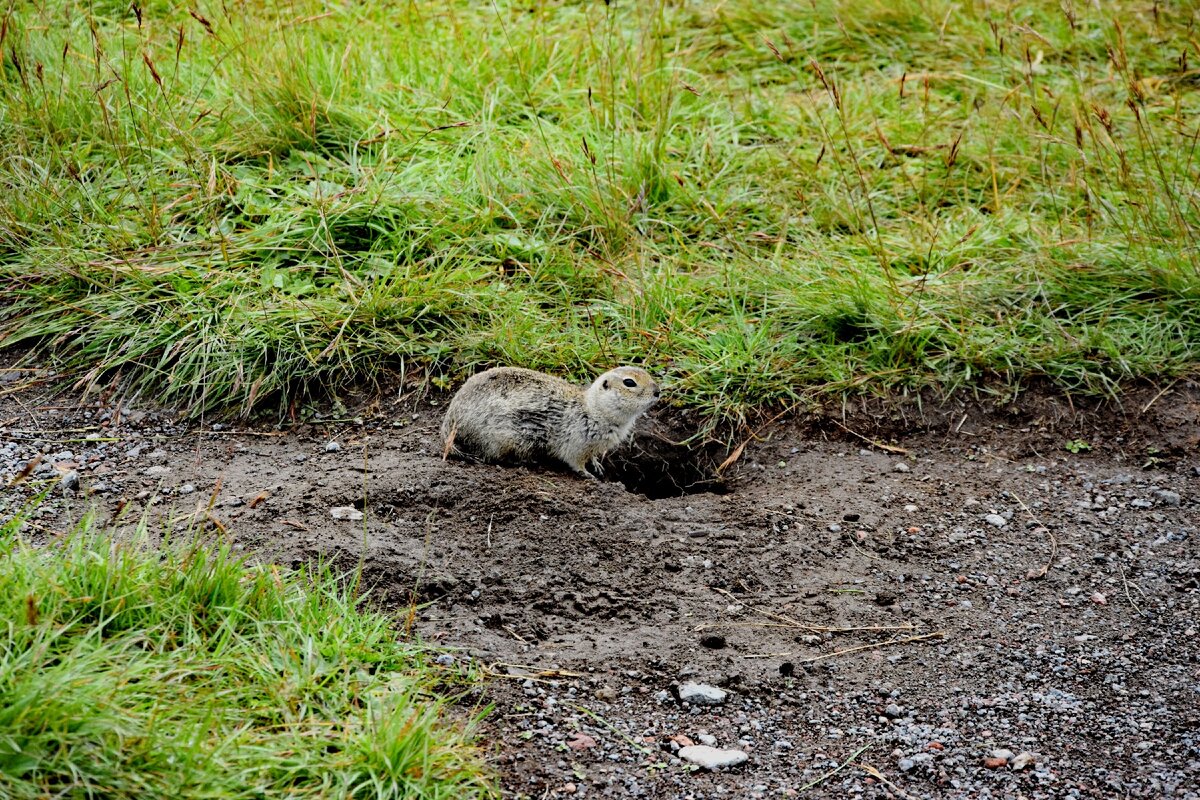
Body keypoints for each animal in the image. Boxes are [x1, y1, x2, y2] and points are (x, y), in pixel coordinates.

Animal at [441, 367, 662, 479]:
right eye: (629, 382)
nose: (658, 391)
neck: (594, 409)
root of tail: (450, 418)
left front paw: (597, 465)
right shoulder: (577, 442)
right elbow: (575, 460)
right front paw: (587, 474)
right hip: (500, 439)